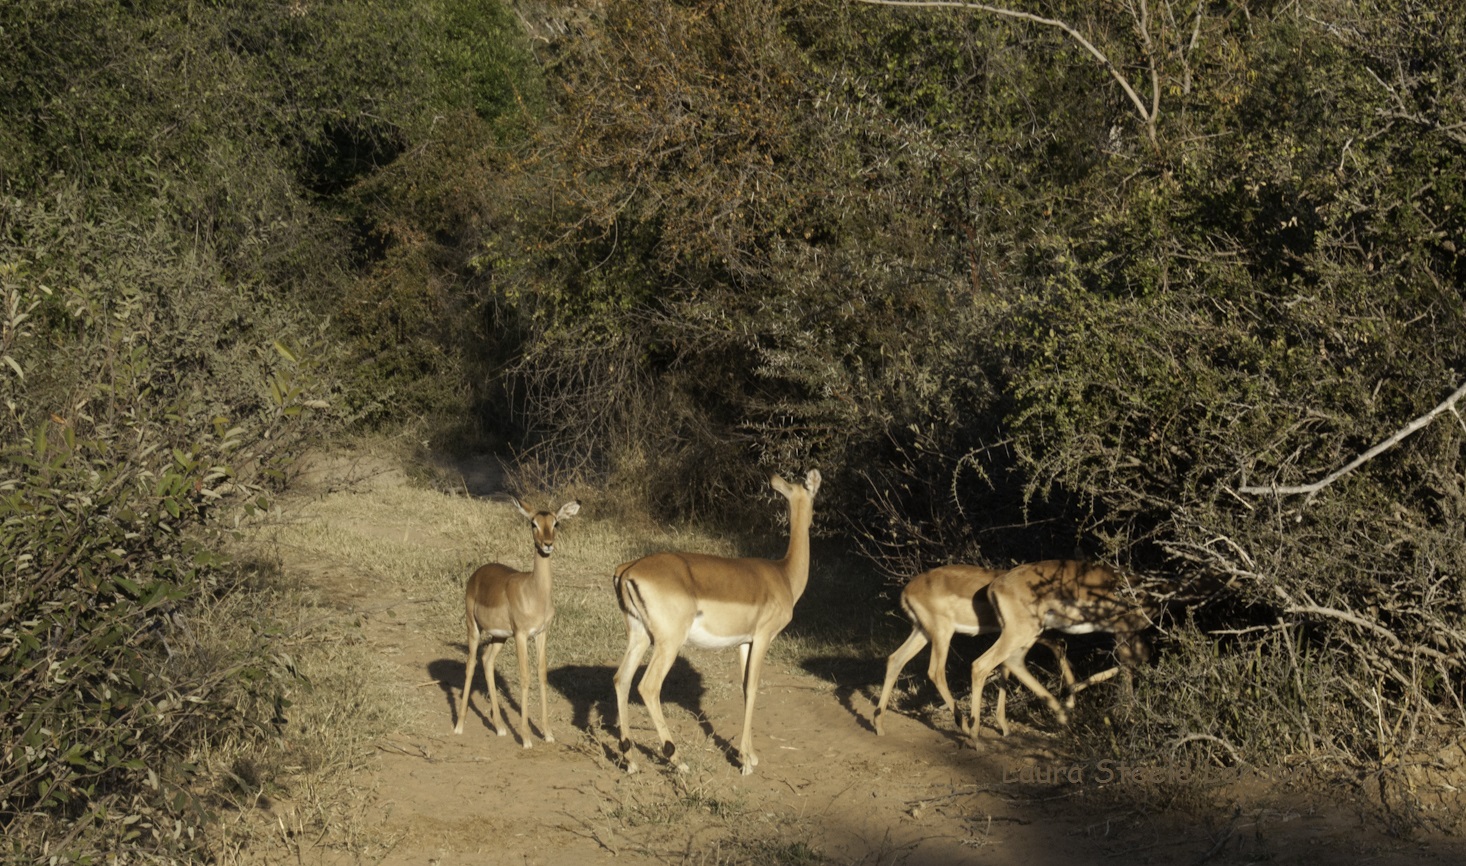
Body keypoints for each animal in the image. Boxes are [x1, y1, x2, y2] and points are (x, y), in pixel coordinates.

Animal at [454, 498, 580, 746]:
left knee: (487, 660)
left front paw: (548, 733)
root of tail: (477, 574)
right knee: (471, 664)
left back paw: (500, 727)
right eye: (533, 523)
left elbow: (541, 675)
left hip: (499, 637)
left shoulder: (541, 634)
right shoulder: (521, 635)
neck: (534, 592)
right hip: (473, 628)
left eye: (556, 523)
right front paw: (526, 737)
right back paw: (459, 726)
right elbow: (524, 676)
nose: (547, 544)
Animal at [612, 469, 821, 775]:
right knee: (648, 687)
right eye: (811, 492)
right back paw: (678, 759)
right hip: (668, 643)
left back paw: (630, 760)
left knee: (621, 680)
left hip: (640, 636)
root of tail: (627, 570)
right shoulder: (763, 638)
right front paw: (746, 762)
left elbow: (745, 688)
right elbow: (753, 687)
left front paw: (749, 755)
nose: (814, 520)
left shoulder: (745, 643)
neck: (783, 575)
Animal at [873, 564, 1077, 737]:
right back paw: (964, 725)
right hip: (942, 634)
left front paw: (1004, 726)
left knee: (895, 659)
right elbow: (1056, 646)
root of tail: (907, 591)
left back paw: (879, 725)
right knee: (935, 672)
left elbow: (1007, 668)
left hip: (922, 632)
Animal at [967, 560, 1155, 748]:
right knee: (982, 664)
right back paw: (976, 737)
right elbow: (1129, 664)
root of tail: (994, 587)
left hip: (1029, 634)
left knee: (1013, 661)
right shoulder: (1125, 629)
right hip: (1023, 632)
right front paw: (1127, 714)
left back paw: (1061, 715)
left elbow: (1140, 658)